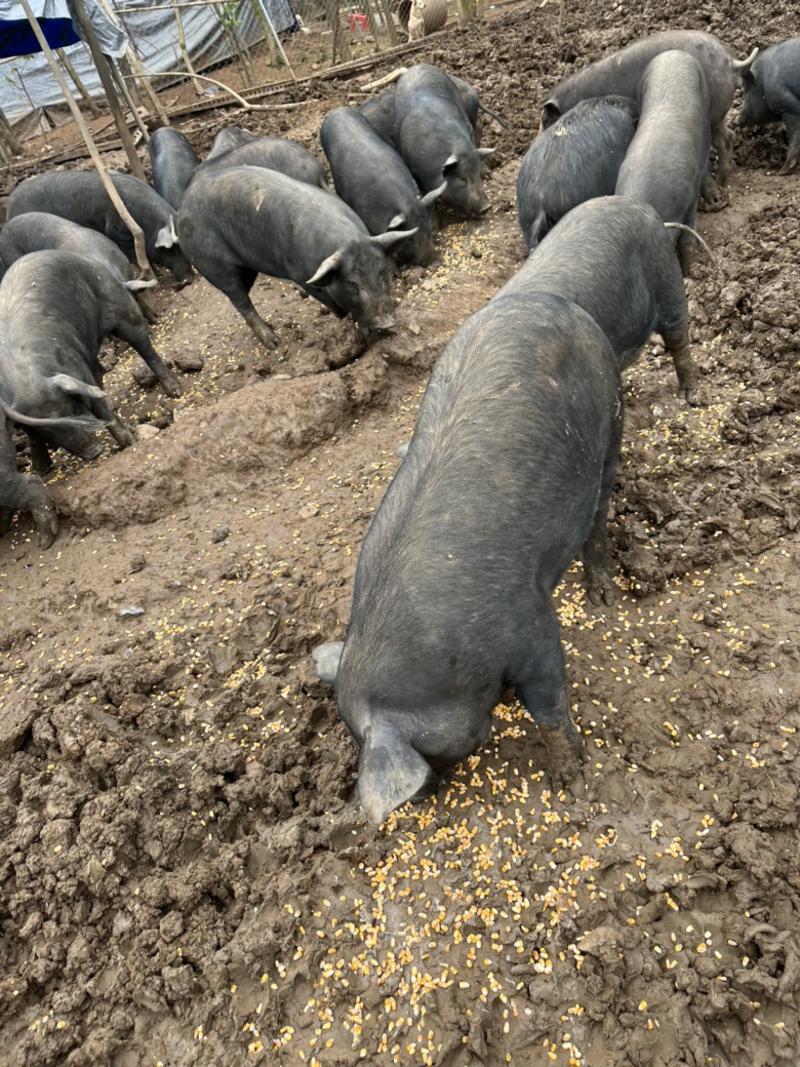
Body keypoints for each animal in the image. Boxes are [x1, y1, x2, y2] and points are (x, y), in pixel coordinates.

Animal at [174, 163, 413, 345]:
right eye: (352, 284)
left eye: (383, 273)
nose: (387, 322)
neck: (347, 240)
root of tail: (182, 209)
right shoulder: (301, 275)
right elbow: (337, 306)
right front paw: (358, 331)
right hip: (212, 263)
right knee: (238, 299)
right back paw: (273, 342)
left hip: (247, 267)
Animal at [309, 292, 622, 823]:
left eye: (428, 753)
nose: (427, 794)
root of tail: (551, 300)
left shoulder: (529, 624)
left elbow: (550, 706)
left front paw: (572, 780)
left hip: (611, 412)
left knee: (601, 508)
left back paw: (602, 591)